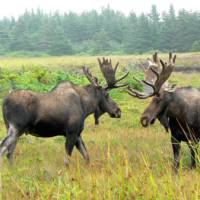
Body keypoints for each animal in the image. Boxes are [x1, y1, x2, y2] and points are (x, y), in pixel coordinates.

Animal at [0, 57, 128, 166]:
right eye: (107, 95)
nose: (118, 111)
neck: (86, 107)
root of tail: (4, 101)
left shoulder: (78, 134)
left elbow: (86, 156)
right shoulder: (71, 132)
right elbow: (67, 159)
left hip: (12, 128)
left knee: (10, 152)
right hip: (16, 128)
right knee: (4, 148)